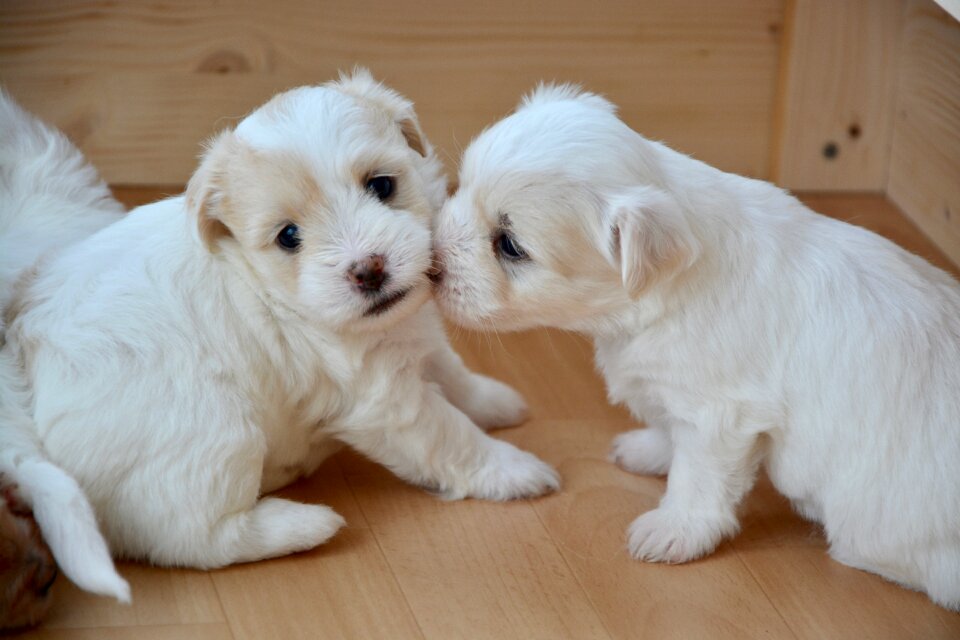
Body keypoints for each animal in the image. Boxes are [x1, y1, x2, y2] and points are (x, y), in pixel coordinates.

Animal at [0, 70, 560, 568]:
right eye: (289, 236)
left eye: (381, 186)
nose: (368, 270)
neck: (270, 289)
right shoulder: (385, 401)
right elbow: (451, 435)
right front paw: (514, 469)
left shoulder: (412, 337)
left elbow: (450, 372)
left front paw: (495, 402)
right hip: (216, 436)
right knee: (193, 539)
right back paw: (304, 524)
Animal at [432, 85, 960, 608]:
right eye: (461, 185)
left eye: (510, 245)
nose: (432, 265)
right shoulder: (678, 395)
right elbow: (670, 432)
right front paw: (648, 451)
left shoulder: (720, 415)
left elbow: (698, 477)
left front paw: (674, 530)